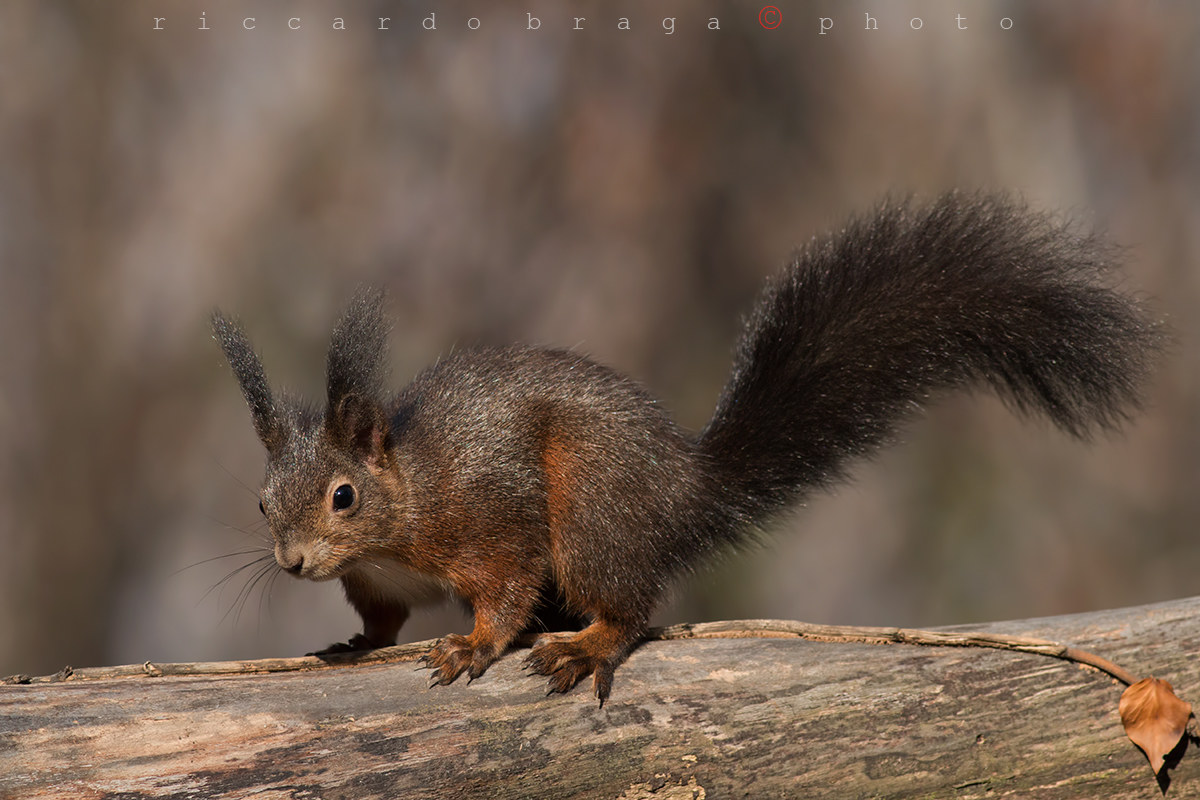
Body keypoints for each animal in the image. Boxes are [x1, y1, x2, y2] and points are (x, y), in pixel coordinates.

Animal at [212, 193, 1162, 704]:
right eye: (260, 501)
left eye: (343, 495)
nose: (293, 562)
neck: (408, 502)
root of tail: (686, 488)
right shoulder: (378, 583)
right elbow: (381, 621)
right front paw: (351, 645)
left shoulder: (489, 517)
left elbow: (504, 589)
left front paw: (474, 647)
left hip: (593, 512)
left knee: (628, 606)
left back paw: (586, 644)